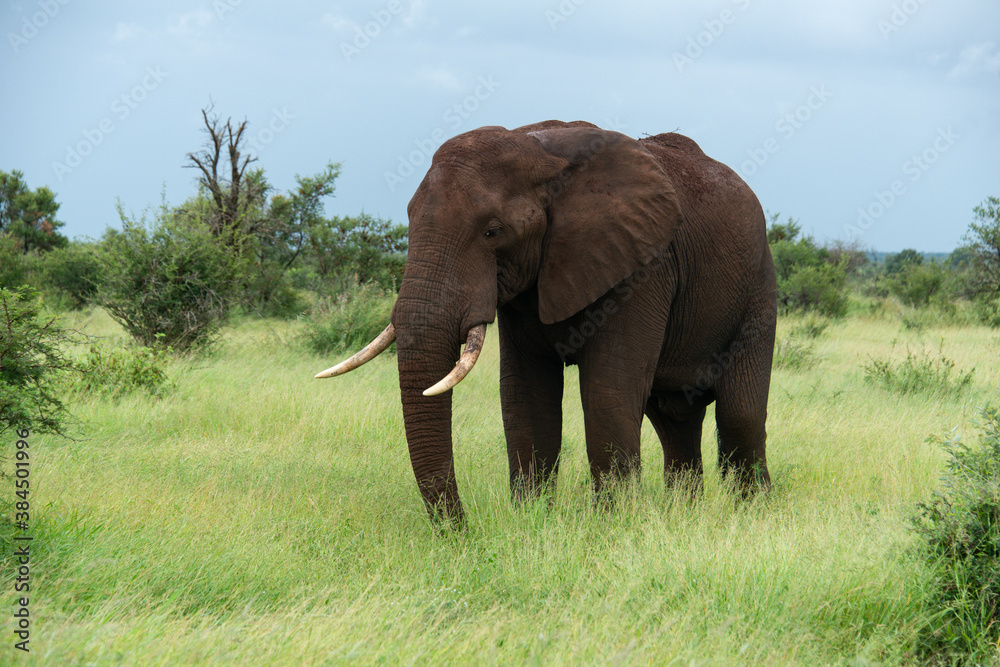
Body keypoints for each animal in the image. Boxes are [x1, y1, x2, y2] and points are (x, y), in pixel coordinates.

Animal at [317, 120, 777, 524]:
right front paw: (532, 519)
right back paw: (683, 513)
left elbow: (610, 389)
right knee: (673, 420)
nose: (461, 531)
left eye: (493, 232)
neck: (542, 150)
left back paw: (753, 515)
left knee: (739, 415)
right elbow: (526, 396)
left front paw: (611, 527)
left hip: (758, 286)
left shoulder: (644, 266)